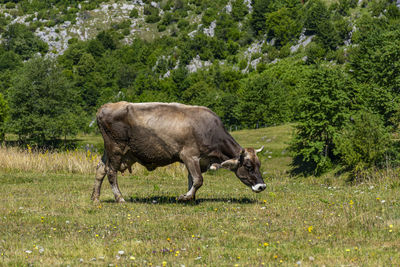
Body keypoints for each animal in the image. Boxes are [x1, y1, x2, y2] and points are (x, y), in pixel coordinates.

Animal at [91, 102, 266, 203]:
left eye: (259, 165)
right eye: (248, 166)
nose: (262, 186)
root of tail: (104, 107)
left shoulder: (198, 160)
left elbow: (191, 179)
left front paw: (191, 198)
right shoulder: (189, 155)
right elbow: (198, 180)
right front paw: (185, 196)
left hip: (109, 150)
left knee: (100, 169)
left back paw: (95, 198)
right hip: (116, 148)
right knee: (111, 172)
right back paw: (119, 198)